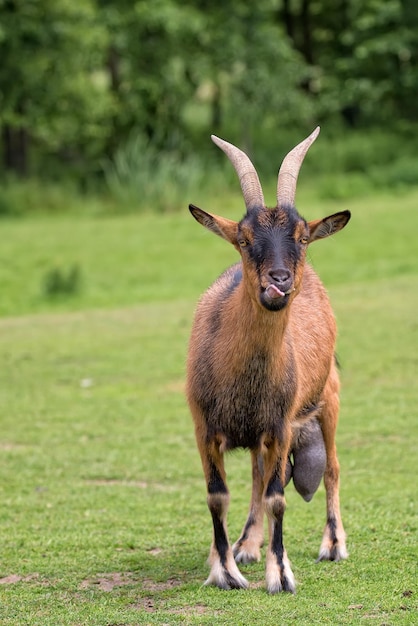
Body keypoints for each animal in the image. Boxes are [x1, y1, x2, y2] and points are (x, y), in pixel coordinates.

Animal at [186, 127, 350, 588]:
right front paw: (225, 569)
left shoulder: (279, 425)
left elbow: (278, 498)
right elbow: (218, 496)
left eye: (303, 237)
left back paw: (333, 545)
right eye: (243, 239)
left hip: (328, 398)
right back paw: (245, 545)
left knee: (331, 468)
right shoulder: (204, 426)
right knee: (258, 477)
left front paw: (280, 574)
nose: (279, 281)